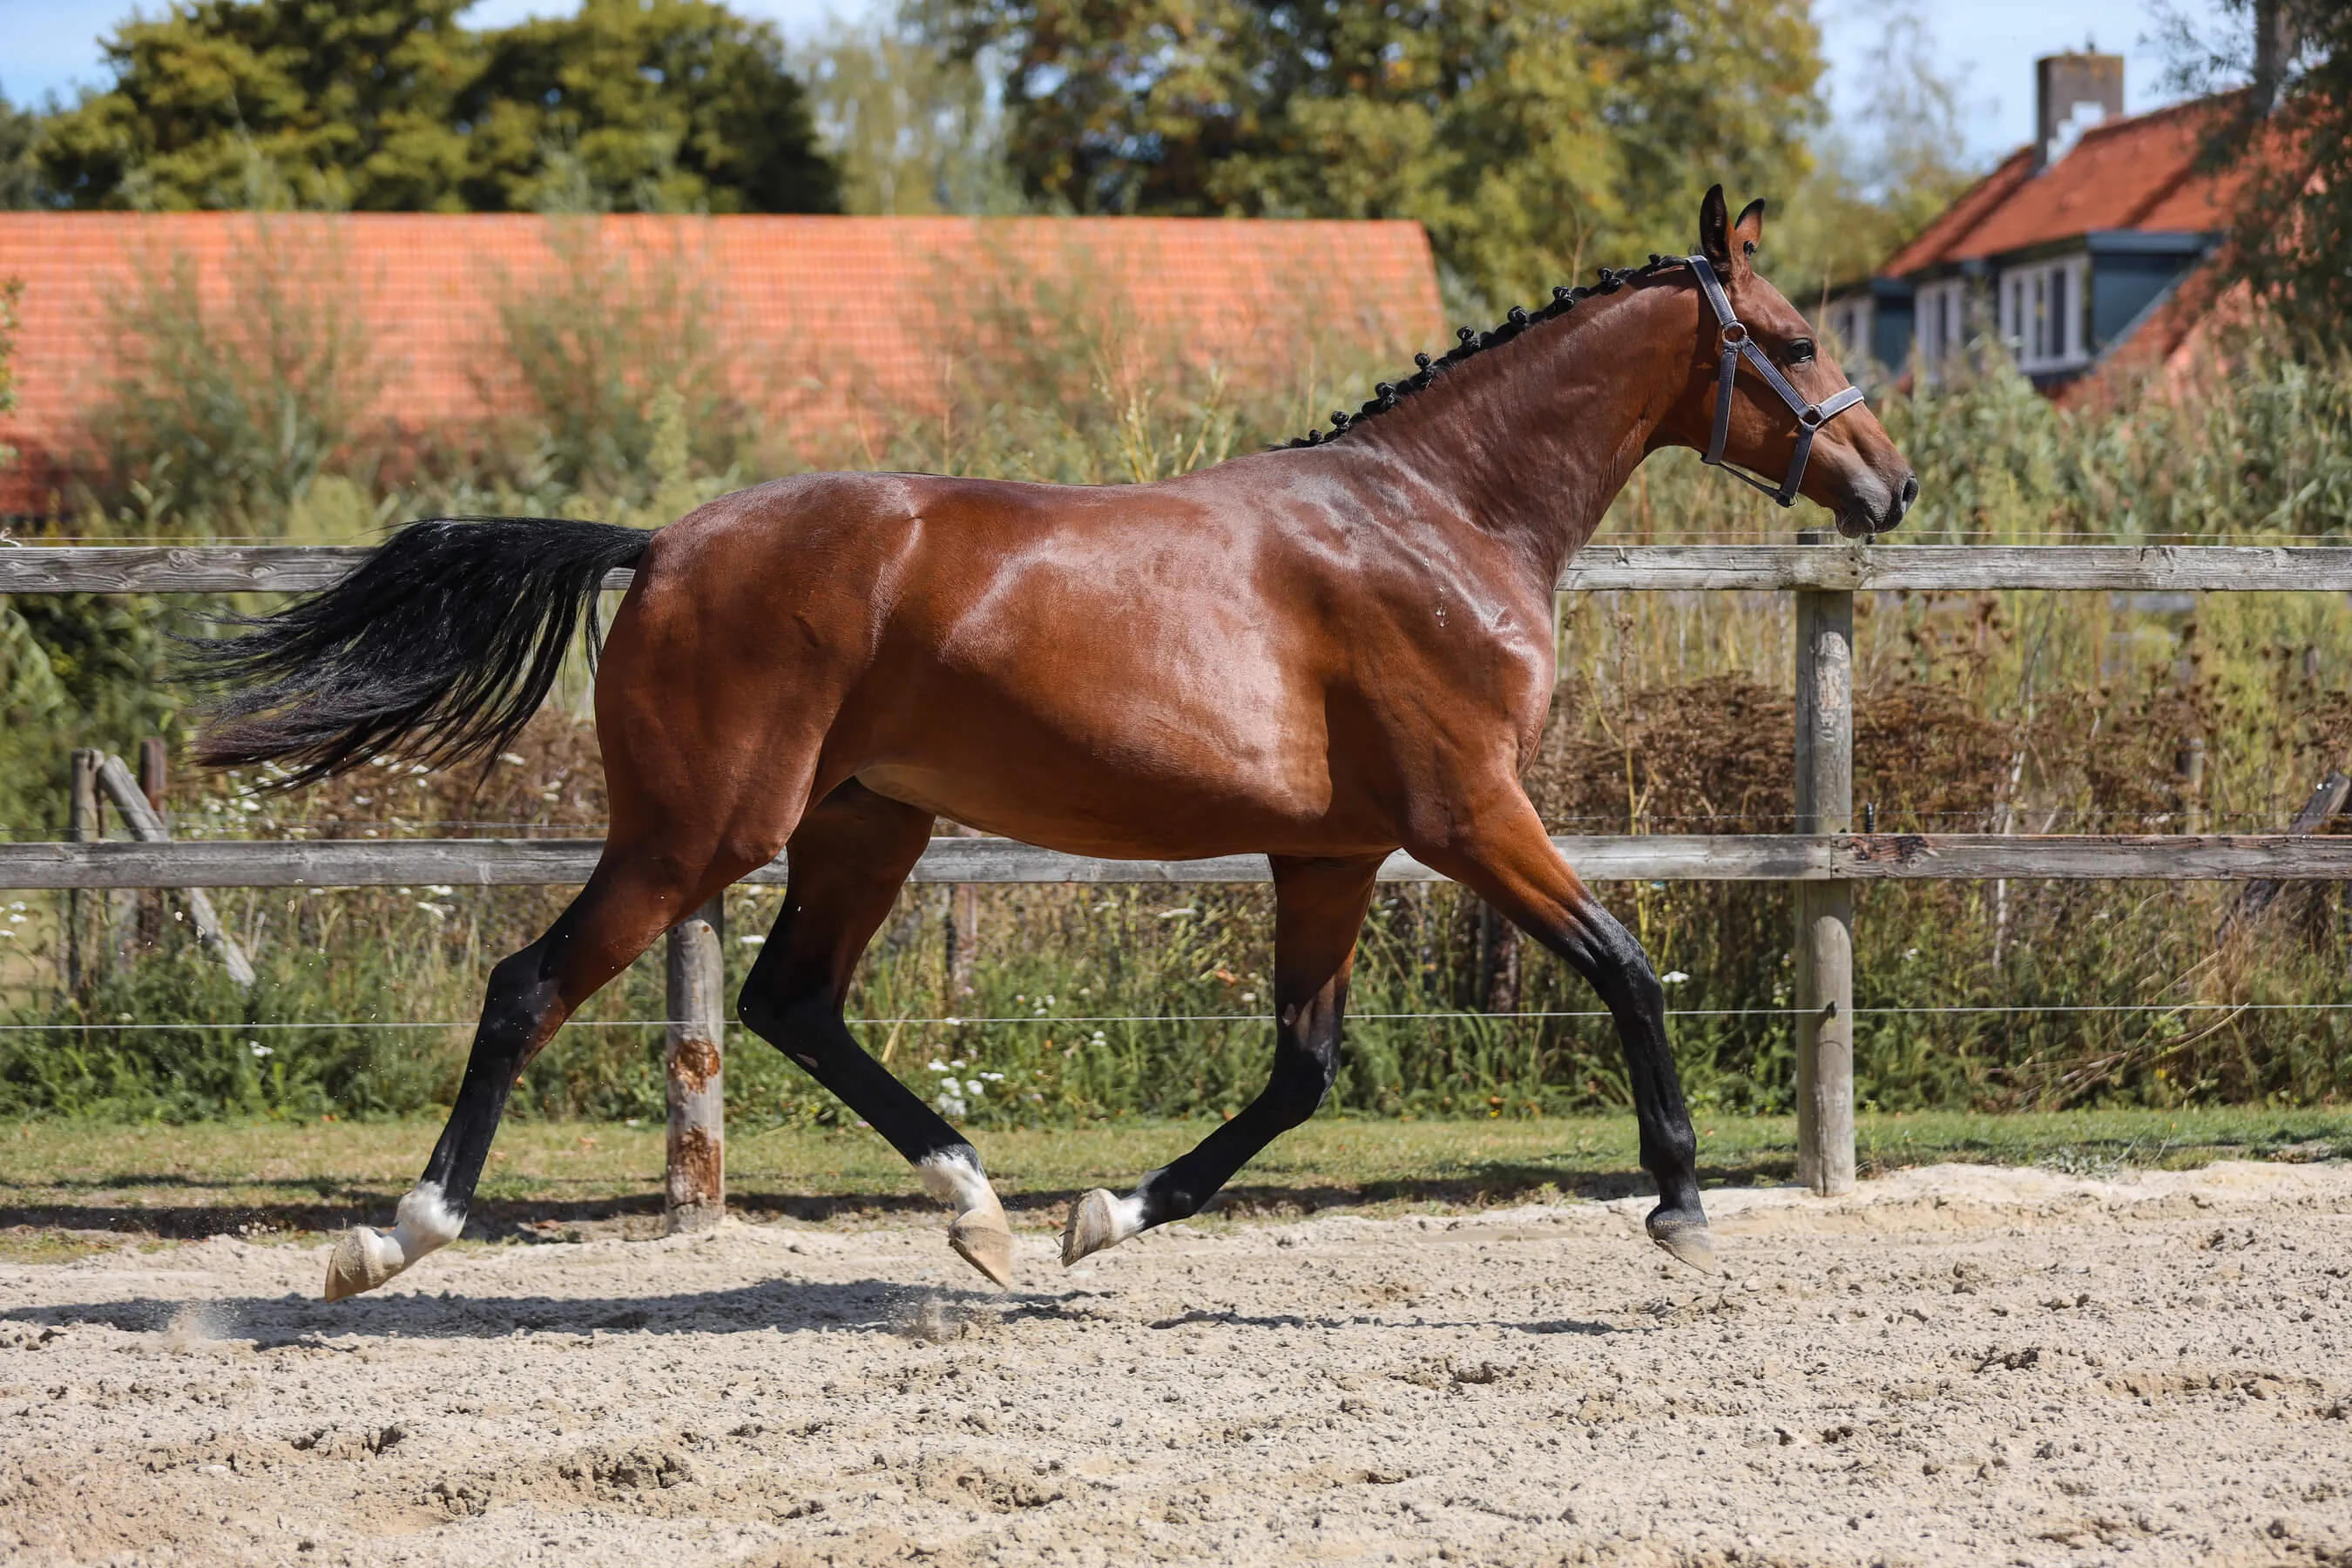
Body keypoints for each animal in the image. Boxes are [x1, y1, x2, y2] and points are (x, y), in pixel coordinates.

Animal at [190, 187, 1915, 1302]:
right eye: (1793, 340)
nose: (1891, 485)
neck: (1438, 519)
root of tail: (664, 544)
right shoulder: (1468, 813)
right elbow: (1625, 967)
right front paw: (1682, 1210)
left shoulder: (1333, 848)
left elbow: (1300, 1073)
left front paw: (1104, 1215)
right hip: (700, 832)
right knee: (531, 987)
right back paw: (393, 1238)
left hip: (865, 822)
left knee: (792, 1003)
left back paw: (982, 1209)